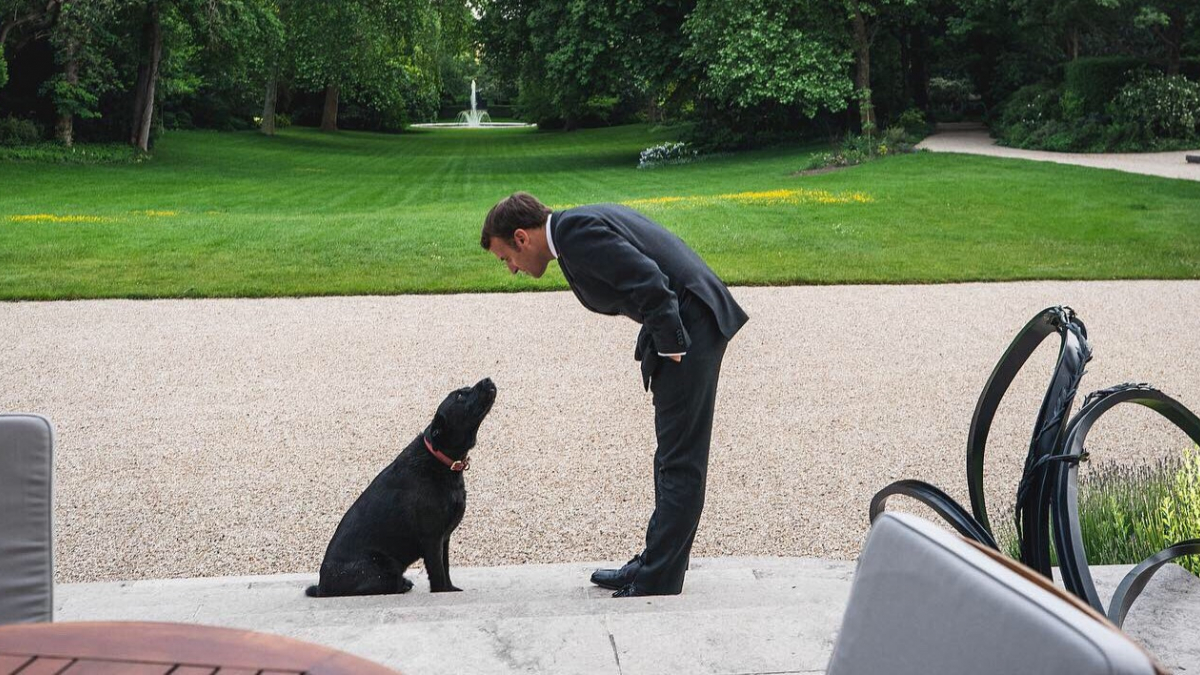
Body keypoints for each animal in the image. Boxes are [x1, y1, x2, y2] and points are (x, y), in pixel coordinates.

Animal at [309, 379, 501, 593]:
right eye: (459, 396)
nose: (488, 380)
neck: (440, 461)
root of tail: (321, 587)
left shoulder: (444, 539)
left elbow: (446, 569)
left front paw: (451, 589)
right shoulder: (432, 539)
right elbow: (438, 574)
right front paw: (443, 591)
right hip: (384, 567)